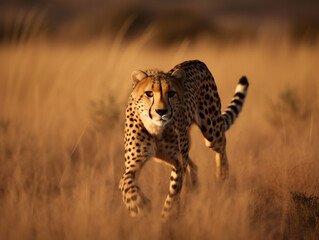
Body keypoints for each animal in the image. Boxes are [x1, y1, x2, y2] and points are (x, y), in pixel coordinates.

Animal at [119, 60, 249, 221]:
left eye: (171, 93)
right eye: (149, 93)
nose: (161, 112)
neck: (156, 129)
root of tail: (197, 61)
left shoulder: (178, 162)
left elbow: (173, 194)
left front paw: (165, 218)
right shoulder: (134, 163)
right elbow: (125, 181)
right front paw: (139, 205)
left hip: (211, 130)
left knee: (221, 144)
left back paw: (222, 175)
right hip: (168, 155)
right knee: (193, 166)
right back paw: (193, 187)